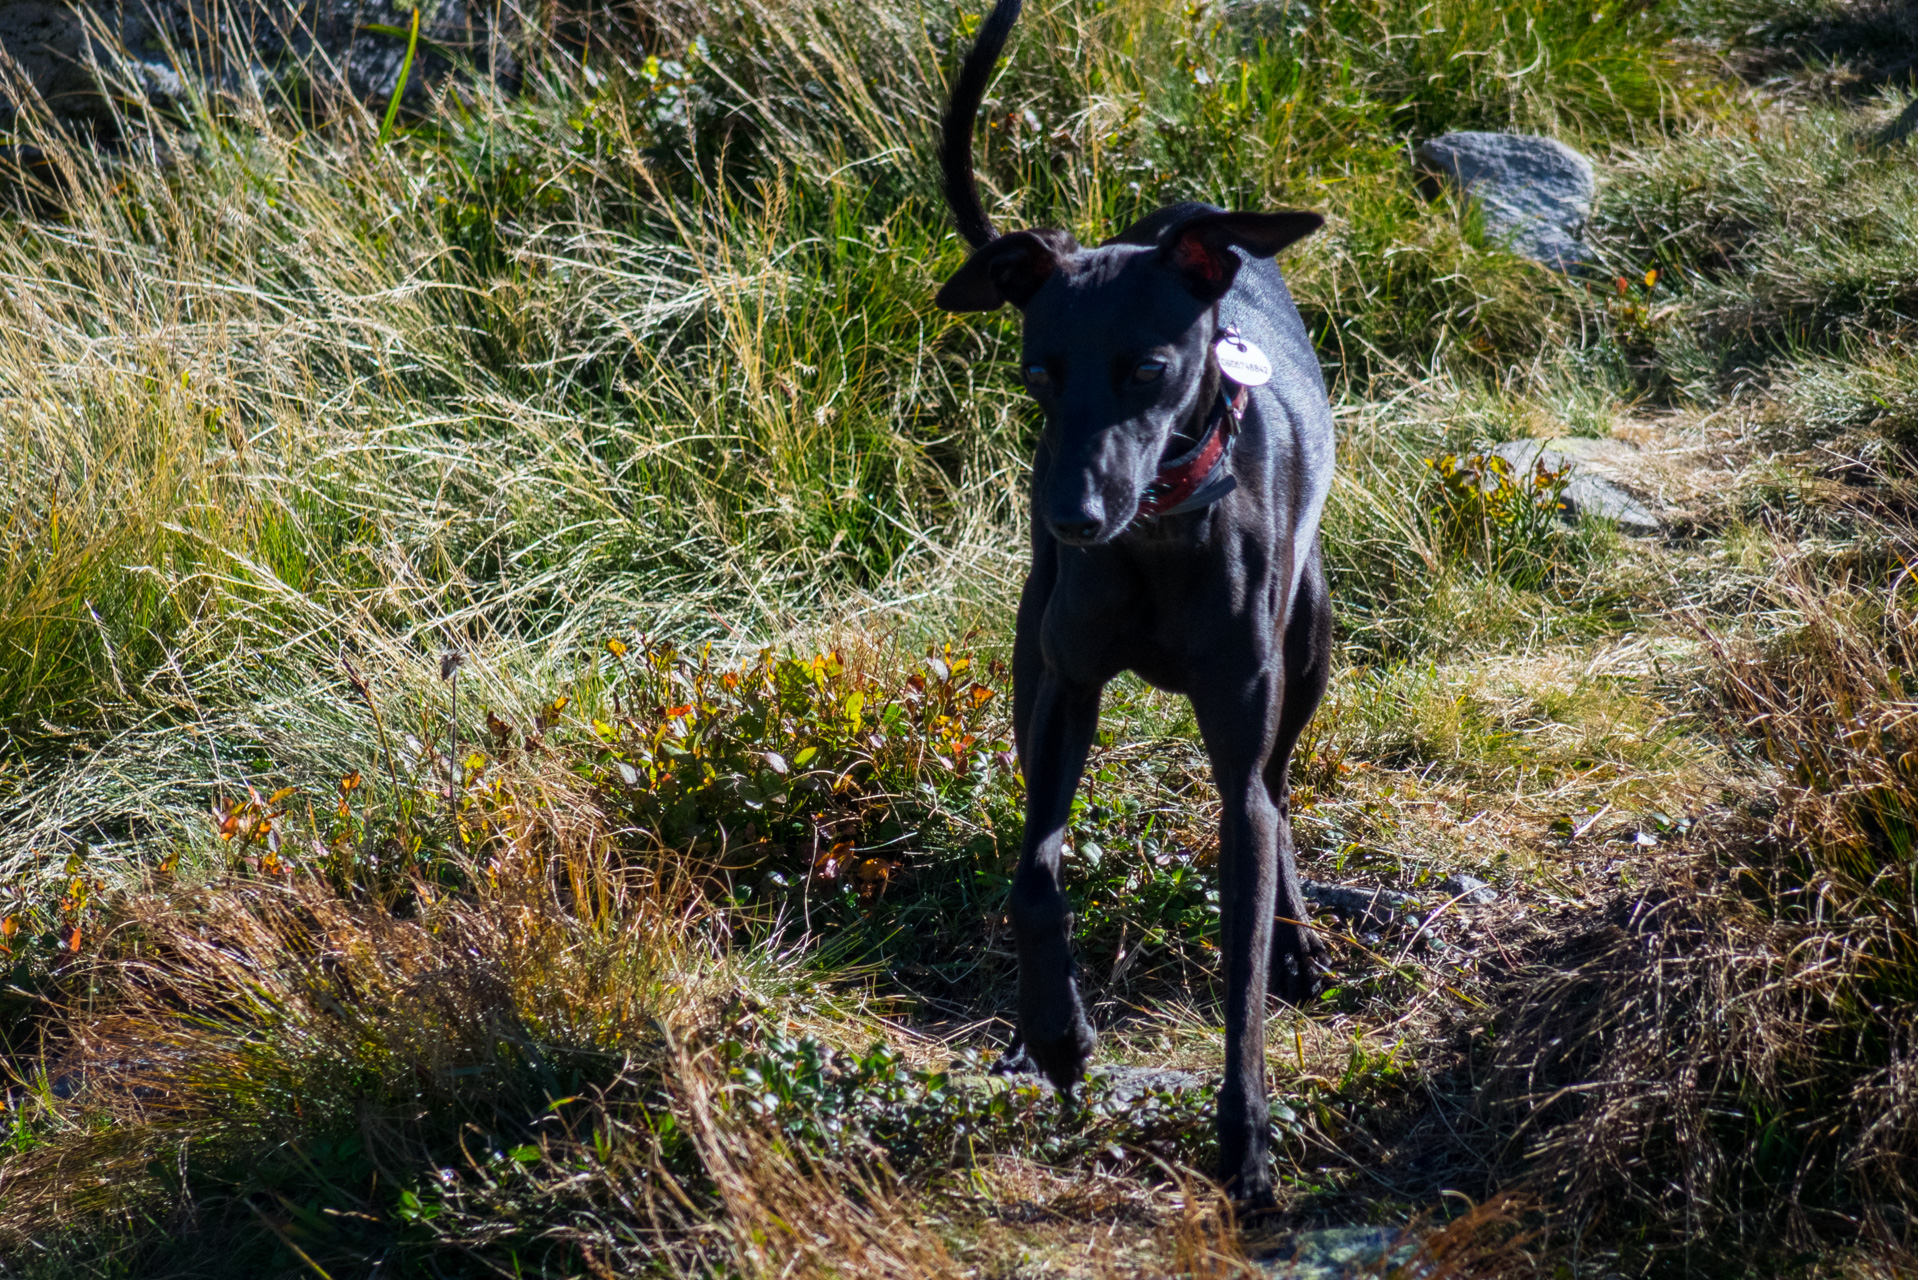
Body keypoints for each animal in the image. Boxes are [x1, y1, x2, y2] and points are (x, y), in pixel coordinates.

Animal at [928, 0, 1334, 1205]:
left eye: (1149, 368)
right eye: (1037, 372)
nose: (1070, 519)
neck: (1158, 535)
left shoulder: (1241, 735)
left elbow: (1240, 948)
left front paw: (1246, 1141)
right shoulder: (1061, 693)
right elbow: (1034, 873)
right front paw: (1058, 1035)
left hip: (1310, 639)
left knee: (1278, 788)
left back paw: (1297, 940)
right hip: (1031, 650)